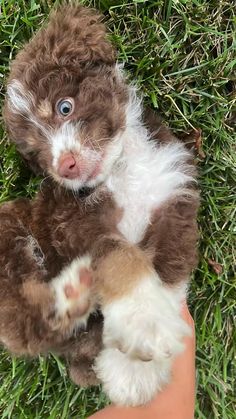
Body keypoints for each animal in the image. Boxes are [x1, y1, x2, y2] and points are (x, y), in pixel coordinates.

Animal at [3, 4, 199, 408]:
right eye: (37, 152)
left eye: (64, 107)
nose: (65, 166)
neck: (121, 168)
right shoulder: (72, 221)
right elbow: (119, 255)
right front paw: (143, 323)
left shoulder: (174, 199)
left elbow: (169, 276)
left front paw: (134, 371)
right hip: (9, 229)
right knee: (22, 328)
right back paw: (70, 295)